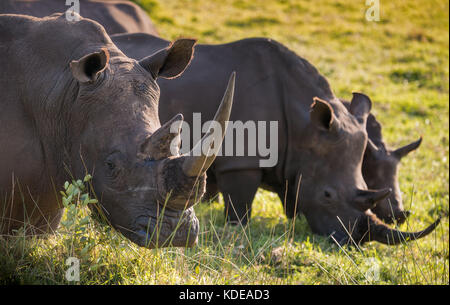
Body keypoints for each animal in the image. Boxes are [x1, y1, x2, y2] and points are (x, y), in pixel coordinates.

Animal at [111, 32, 440, 245]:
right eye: (327, 196)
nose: (352, 241)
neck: (304, 125)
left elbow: (291, 195)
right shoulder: (240, 160)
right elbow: (240, 205)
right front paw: (236, 230)